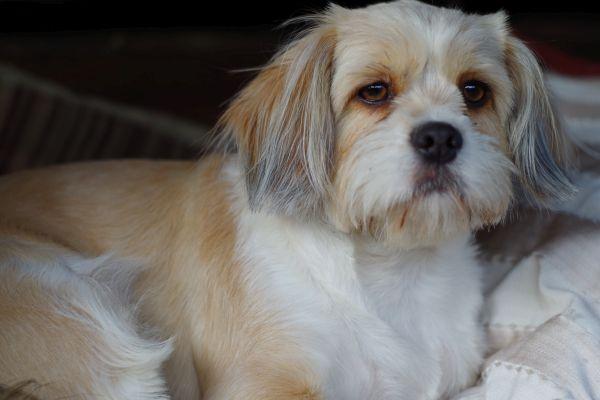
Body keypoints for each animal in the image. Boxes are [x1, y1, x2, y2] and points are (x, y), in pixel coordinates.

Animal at [0, 1, 574, 399]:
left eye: (475, 92)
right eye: (373, 92)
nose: (439, 137)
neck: (391, 272)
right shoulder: (263, 383)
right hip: (88, 319)